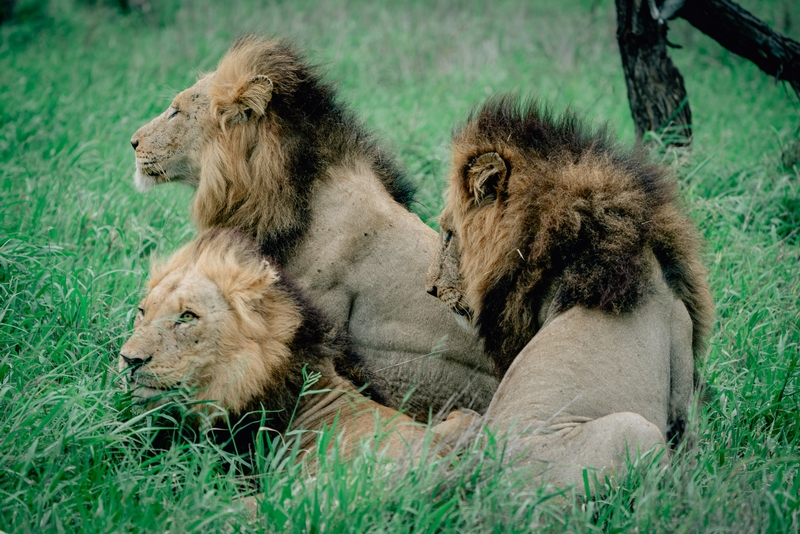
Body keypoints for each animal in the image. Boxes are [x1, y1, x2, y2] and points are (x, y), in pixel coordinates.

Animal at [428, 97, 716, 490]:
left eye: (447, 235)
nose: (430, 289)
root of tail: (486, 483)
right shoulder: (680, 353)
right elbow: (689, 438)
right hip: (635, 429)